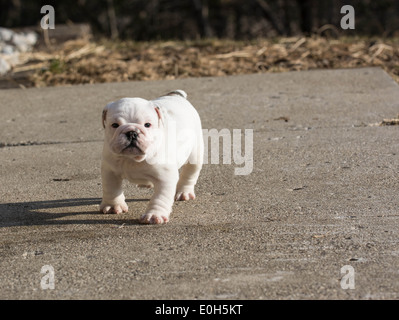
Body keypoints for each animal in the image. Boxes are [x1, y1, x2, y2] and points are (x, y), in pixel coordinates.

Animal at [99, 90, 205, 224]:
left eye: (147, 125)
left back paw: (184, 192)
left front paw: (154, 215)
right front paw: (113, 206)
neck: (132, 158)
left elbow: (160, 198)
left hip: (195, 153)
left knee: (190, 173)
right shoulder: (110, 171)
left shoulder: (165, 178)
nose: (132, 132)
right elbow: (111, 189)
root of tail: (177, 96)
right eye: (114, 125)